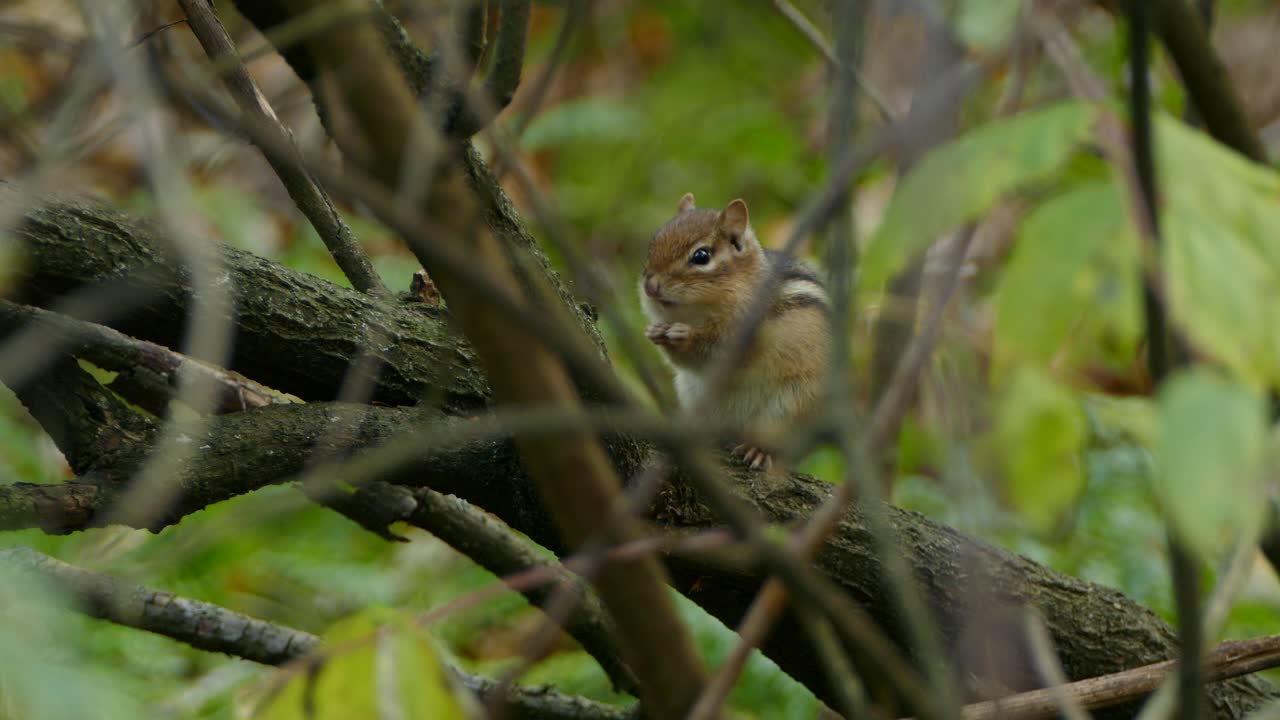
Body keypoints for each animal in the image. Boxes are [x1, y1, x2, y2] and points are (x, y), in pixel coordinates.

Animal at [639, 192, 830, 471]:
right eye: (652, 243)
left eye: (701, 256)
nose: (650, 286)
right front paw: (656, 332)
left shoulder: (749, 332)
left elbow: (719, 352)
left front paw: (685, 337)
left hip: (789, 409)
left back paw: (758, 451)